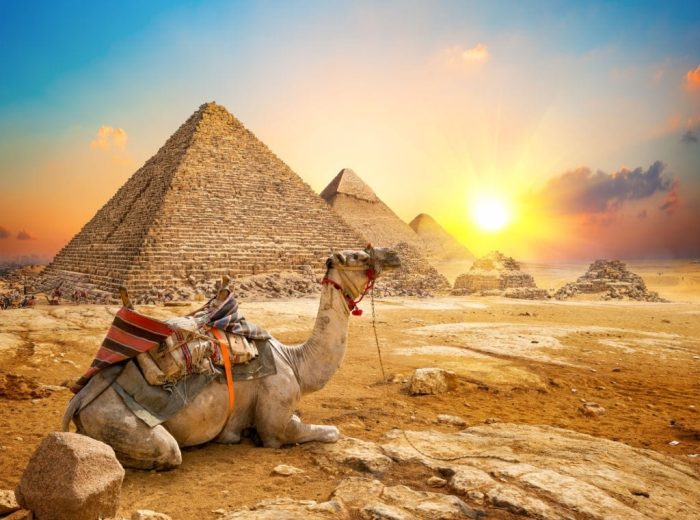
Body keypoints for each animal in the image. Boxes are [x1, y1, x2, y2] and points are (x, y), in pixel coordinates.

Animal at [63, 247, 400, 470]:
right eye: (360, 257)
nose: (394, 255)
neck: (296, 361)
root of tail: (79, 400)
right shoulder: (277, 420)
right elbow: (328, 432)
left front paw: (237, 435)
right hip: (118, 421)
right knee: (167, 452)